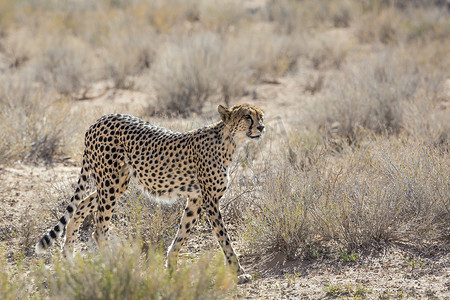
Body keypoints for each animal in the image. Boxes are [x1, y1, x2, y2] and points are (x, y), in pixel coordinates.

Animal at [37, 104, 266, 282]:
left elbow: (182, 233)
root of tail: (101, 118)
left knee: (82, 204)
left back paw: (68, 257)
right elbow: (224, 237)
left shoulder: (196, 199)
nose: (262, 127)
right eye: (247, 116)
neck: (229, 142)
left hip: (117, 183)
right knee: (99, 229)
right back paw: (111, 264)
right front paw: (238, 272)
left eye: (261, 115)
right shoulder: (210, 200)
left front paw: (171, 267)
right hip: (110, 183)